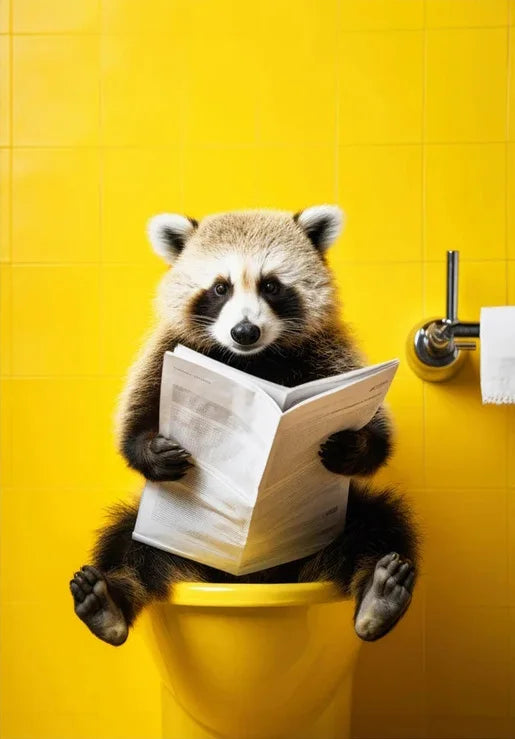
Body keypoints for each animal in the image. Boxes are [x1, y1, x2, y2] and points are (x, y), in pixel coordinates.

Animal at [69, 206, 418, 647]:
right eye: (221, 288)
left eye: (271, 286)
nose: (245, 331)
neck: (250, 360)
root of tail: (252, 580)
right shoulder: (168, 351)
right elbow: (134, 422)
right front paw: (152, 451)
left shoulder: (329, 352)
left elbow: (379, 439)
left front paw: (352, 445)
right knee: (127, 545)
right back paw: (106, 604)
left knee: (377, 525)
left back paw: (379, 594)